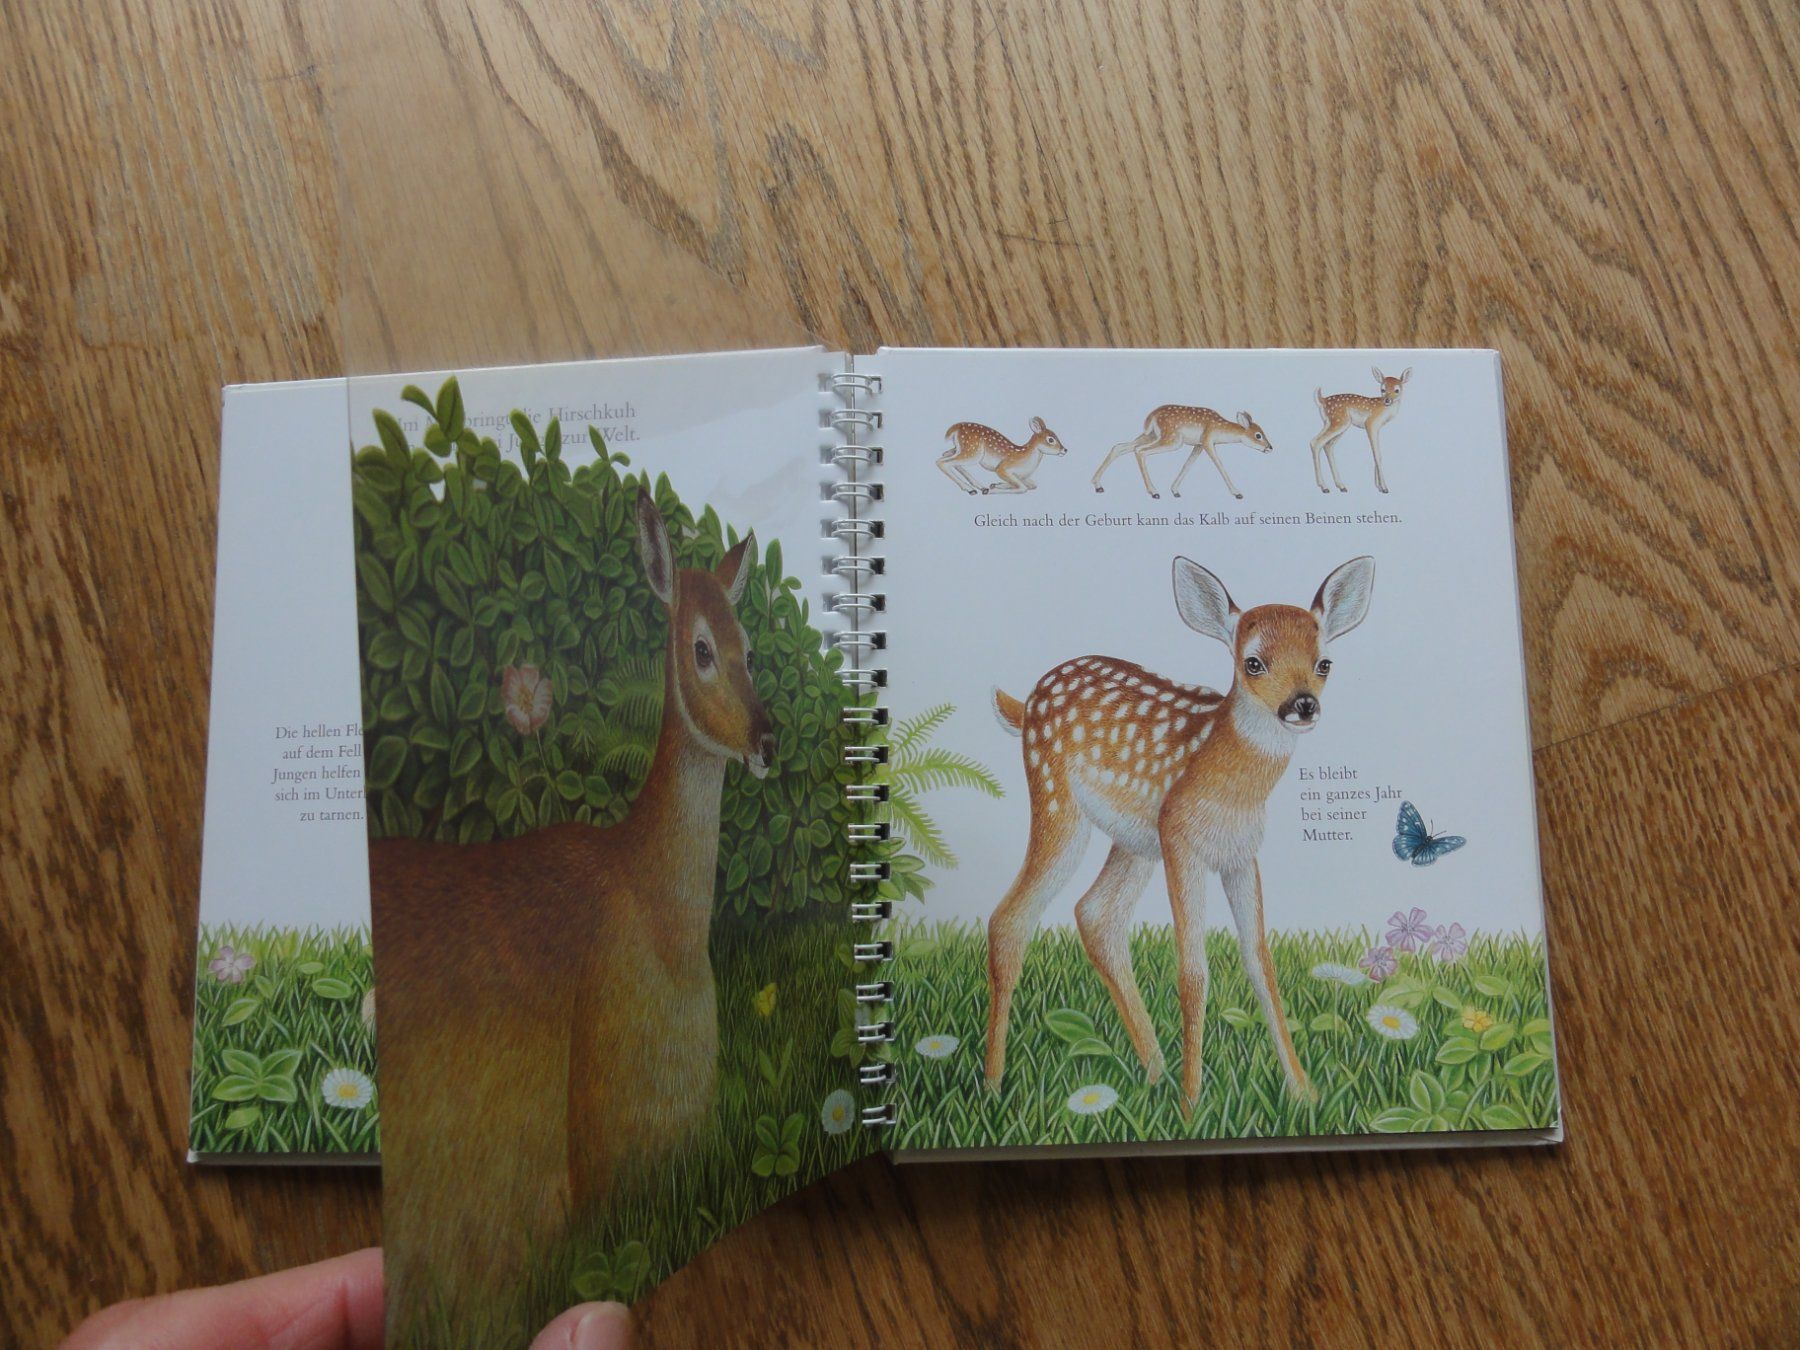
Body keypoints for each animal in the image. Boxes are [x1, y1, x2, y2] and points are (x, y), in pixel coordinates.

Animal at [938, 417, 1069, 494]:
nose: (1065, 449)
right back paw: (971, 489)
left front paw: (996, 484)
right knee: (942, 462)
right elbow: (1023, 488)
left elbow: (1032, 485)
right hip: (973, 452)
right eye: (1051, 439)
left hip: (961, 449)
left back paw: (980, 487)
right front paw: (994, 488)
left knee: (945, 455)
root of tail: (955, 428)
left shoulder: (1022, 476)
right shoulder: (1002, 468)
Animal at [984, 555, 1375, 1115]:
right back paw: (993, 1084)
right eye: (1253, 662)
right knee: (1010, 919)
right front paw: (1193, 1106)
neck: (1232, 784)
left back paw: (1154, 1071)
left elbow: (1261, 963)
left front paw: (1303, 1093)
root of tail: (1028, 700)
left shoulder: (1240, 853)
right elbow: (1193, 973)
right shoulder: (1181, 840)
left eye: (1324, 664)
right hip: (1058, 802)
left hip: (1133, 840)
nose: (1302, 704)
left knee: (1095, 915)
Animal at [1092, 405, 1272, 500]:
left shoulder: (1198, 444)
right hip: (1172, 439)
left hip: (1152, 435)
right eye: (1258, 435)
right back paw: (1154, 492)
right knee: (1140, 451)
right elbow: (1219, 464)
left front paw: (1175, 490)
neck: (1221, 430)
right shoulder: (1207, 440)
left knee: (1120, 447)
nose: (1270, 447)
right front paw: (1237, 493)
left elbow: (1187, 464)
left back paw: (1098, 485)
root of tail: (1151, 417)